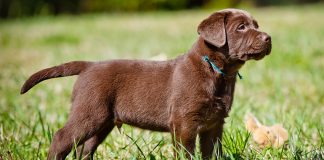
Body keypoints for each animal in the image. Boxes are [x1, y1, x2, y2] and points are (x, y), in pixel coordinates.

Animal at [20, 8, 270, 160]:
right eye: (241, 27)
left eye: (256, 25)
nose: (269, 38)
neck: (214, 70)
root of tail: (89, 65)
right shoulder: (184, 123)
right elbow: (185, 153)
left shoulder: (214, 124)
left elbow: (212, 153)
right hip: (89, 112)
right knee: (61, 137)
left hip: (103, 121)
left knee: (84, 148)